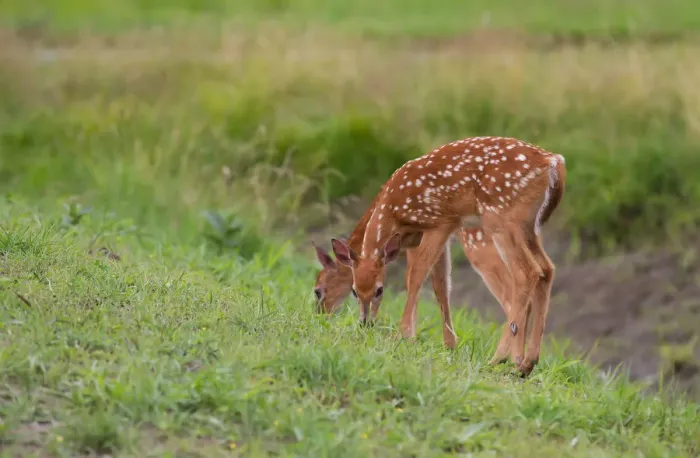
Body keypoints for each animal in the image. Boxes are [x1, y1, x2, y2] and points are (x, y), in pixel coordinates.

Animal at [324, 136, 566, 376]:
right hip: (529, 226)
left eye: (380, 290)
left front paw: (404, 336)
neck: (393, 209)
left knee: (526, 272)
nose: (366, 323)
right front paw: (448, 344)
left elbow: (415, 278)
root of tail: (553, 162)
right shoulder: (424, 236)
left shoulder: (440, 223)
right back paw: (526, 363)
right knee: (547, 269)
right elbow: (440, 286)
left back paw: (501, 359)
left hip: (500, 218)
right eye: (354, 291)